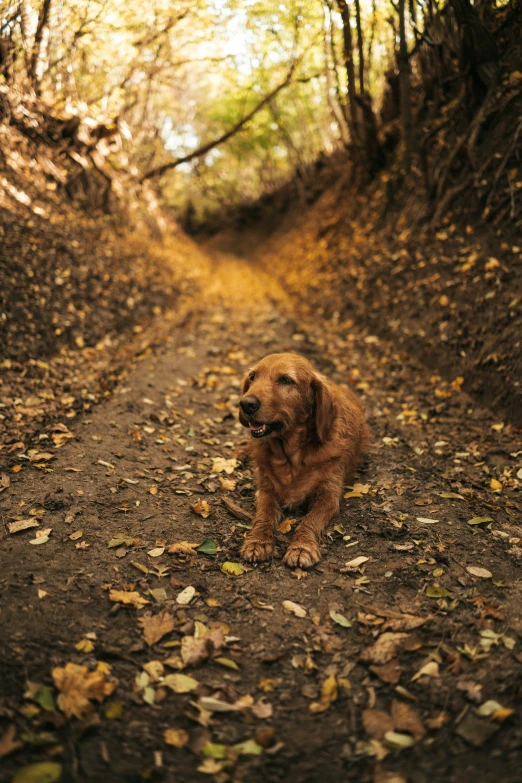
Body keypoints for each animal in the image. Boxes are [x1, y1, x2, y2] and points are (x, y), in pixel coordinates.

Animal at [238, 356, 368, 568]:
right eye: (252, 377)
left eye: (286, 380)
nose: (246, 403)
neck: (291, 456)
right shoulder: (266, 489)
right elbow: (264, 515)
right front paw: (258, 541)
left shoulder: (328, 496)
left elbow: (310, 521)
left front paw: (302, 547)